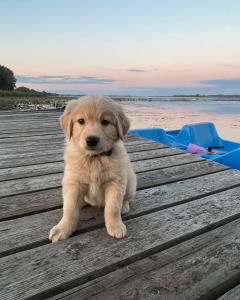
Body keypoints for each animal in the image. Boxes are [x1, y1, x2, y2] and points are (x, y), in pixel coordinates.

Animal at [48, 96, 137, 241]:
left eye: (105, 122)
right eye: (81, 121)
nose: (91, 140)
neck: (95, 158)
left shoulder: (116, 182)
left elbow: (112, 208)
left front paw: (115, 226)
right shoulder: (73, 183)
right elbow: (69, 208)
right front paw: (63, 228)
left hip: (130, 183)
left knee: (126, 198)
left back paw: (124, 207)